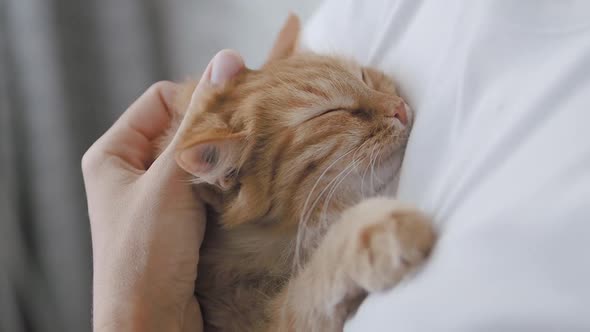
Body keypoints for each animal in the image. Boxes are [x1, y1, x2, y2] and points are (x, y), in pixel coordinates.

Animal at [160, 13, 438, 332]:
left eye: (363, 77)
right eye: (329, 113)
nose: (400, 108)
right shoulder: (264, 321)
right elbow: (314, 278)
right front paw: (380, 229)